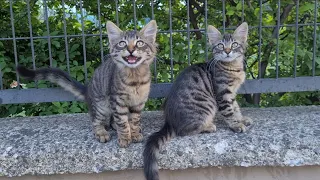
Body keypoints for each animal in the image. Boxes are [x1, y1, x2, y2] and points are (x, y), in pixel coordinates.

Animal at [17, 20, 158, 147]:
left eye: (140, 43)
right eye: (122, 43)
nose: (130, 50)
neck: (135, 79)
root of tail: (88, 90)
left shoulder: (139, 103)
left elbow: (134, 120)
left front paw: (134, 133)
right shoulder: (117, 101)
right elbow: (122, 122)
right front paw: (124, 138)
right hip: (101, 105)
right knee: (96, 122)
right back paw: (102, 133)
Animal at [144, 22, 251, 180]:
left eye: (234, 44)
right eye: (220, 45)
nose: (227, 51)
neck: (232, 67)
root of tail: (169, 121)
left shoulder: (232, 94)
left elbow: (236, 108)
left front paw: (242, 119)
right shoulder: (223, 94)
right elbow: (229, 111)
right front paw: (236, 125)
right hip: (207, 105)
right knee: (184, 131)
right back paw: (208, 127)